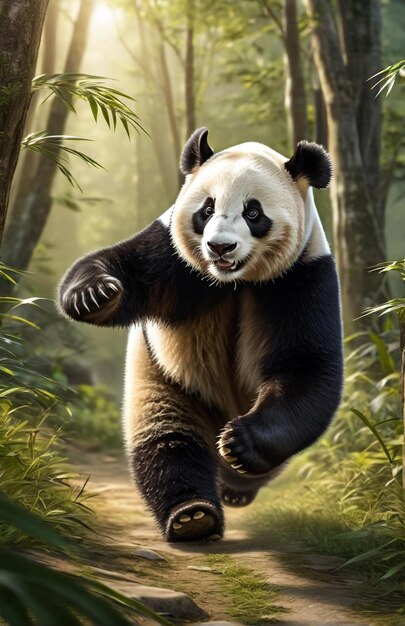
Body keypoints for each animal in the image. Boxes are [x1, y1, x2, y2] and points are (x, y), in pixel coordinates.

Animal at [57, 128, 340, 540]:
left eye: (253, 212)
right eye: (207, 209)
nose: (220, 246)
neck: (234, 281)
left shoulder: (302, 274)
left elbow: (305, 367)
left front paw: (239, 443)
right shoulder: (173, 258)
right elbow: (124, 265)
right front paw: (92, 294)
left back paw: (234, 484)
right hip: (168, 379)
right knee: (167, 438)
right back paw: (192, 514)